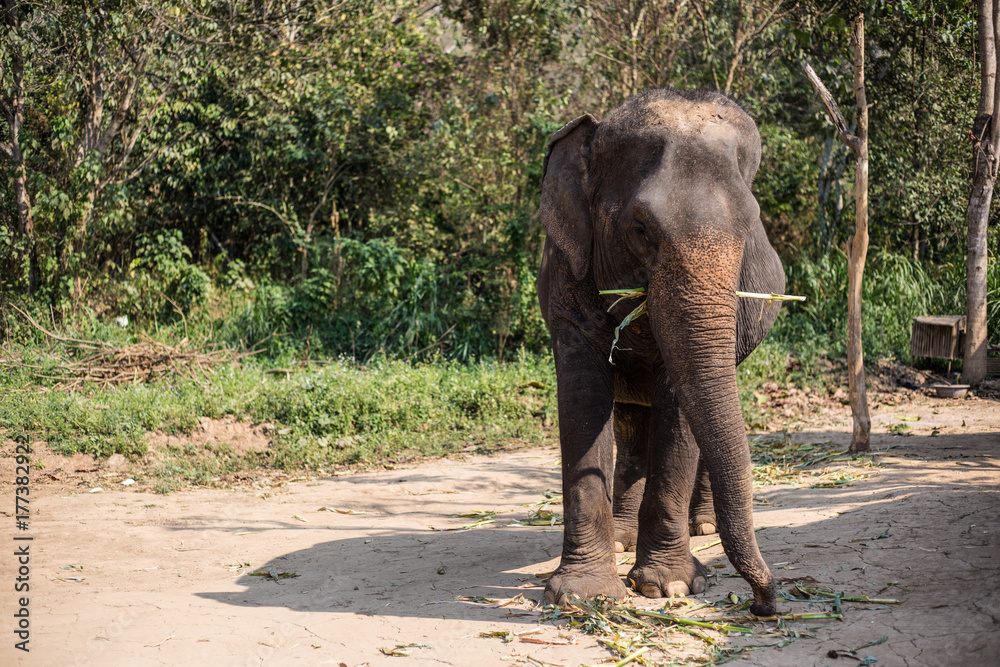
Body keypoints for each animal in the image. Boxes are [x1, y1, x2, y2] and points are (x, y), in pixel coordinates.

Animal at [536, 89, 784, 617]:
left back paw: (702, 527)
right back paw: (621, 540)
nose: (762, 604)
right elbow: (583, 400)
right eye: (641, 229)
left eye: (749, 228)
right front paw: (584, 596)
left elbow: (680, 411)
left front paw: (669, 586)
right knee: (631, 425)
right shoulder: (567, 276)